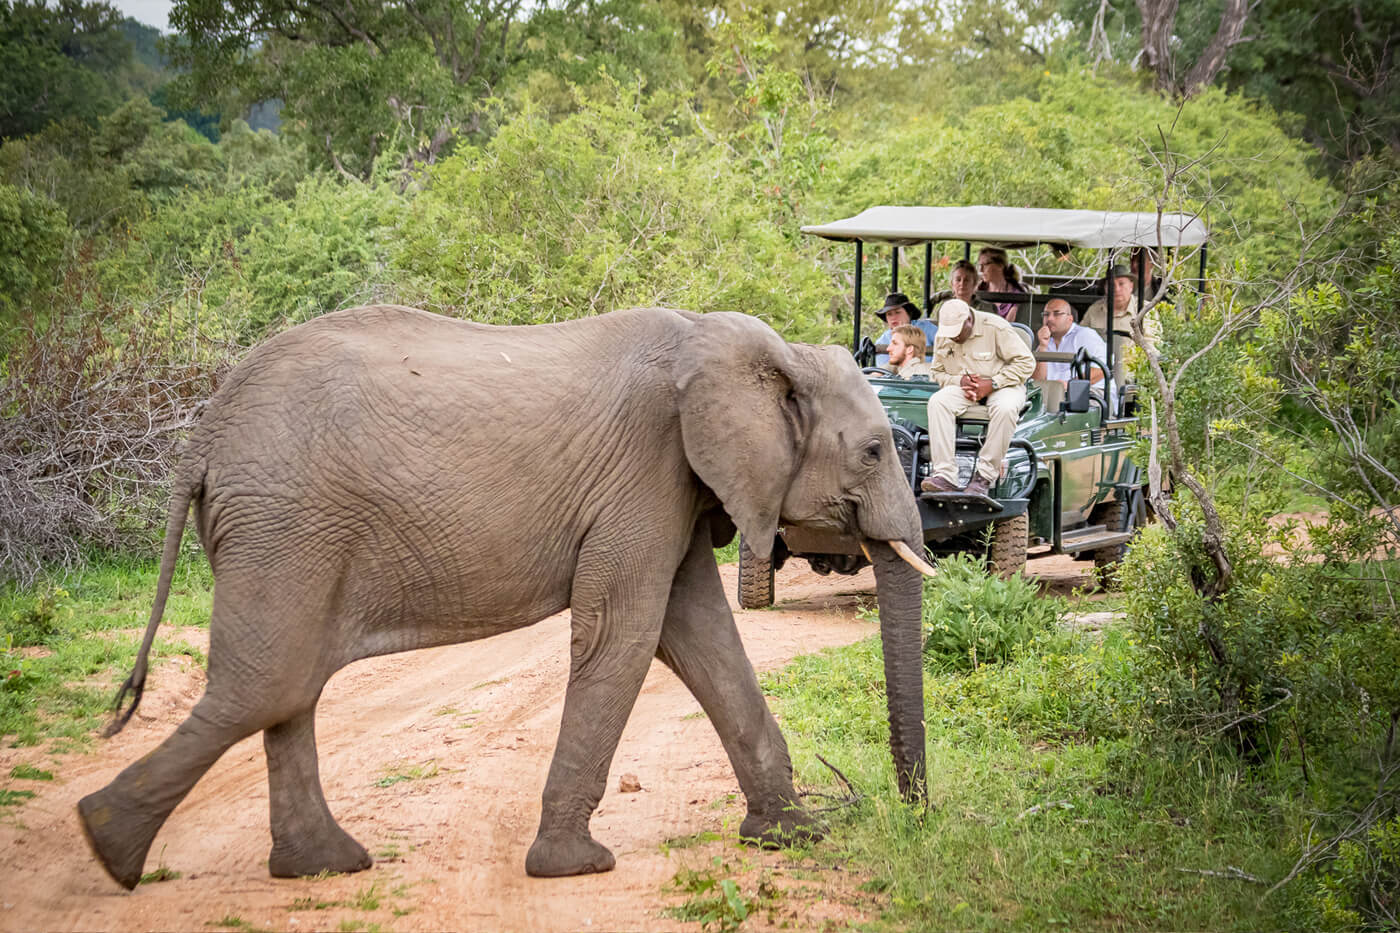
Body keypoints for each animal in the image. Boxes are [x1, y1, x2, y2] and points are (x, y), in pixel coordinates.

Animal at [73, 303, 929, 885]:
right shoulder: (645, 471)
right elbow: (626, 633)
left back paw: (322, 865)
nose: (909, 812)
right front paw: (576, 866)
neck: (758, 349)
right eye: (875, 449)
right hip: (283, 523)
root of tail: (202, 437)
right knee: (269, 683)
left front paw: (792, 835)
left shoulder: (675, 486)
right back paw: (107, 844)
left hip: (282, 530)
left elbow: (698, 635)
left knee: (289, 686)